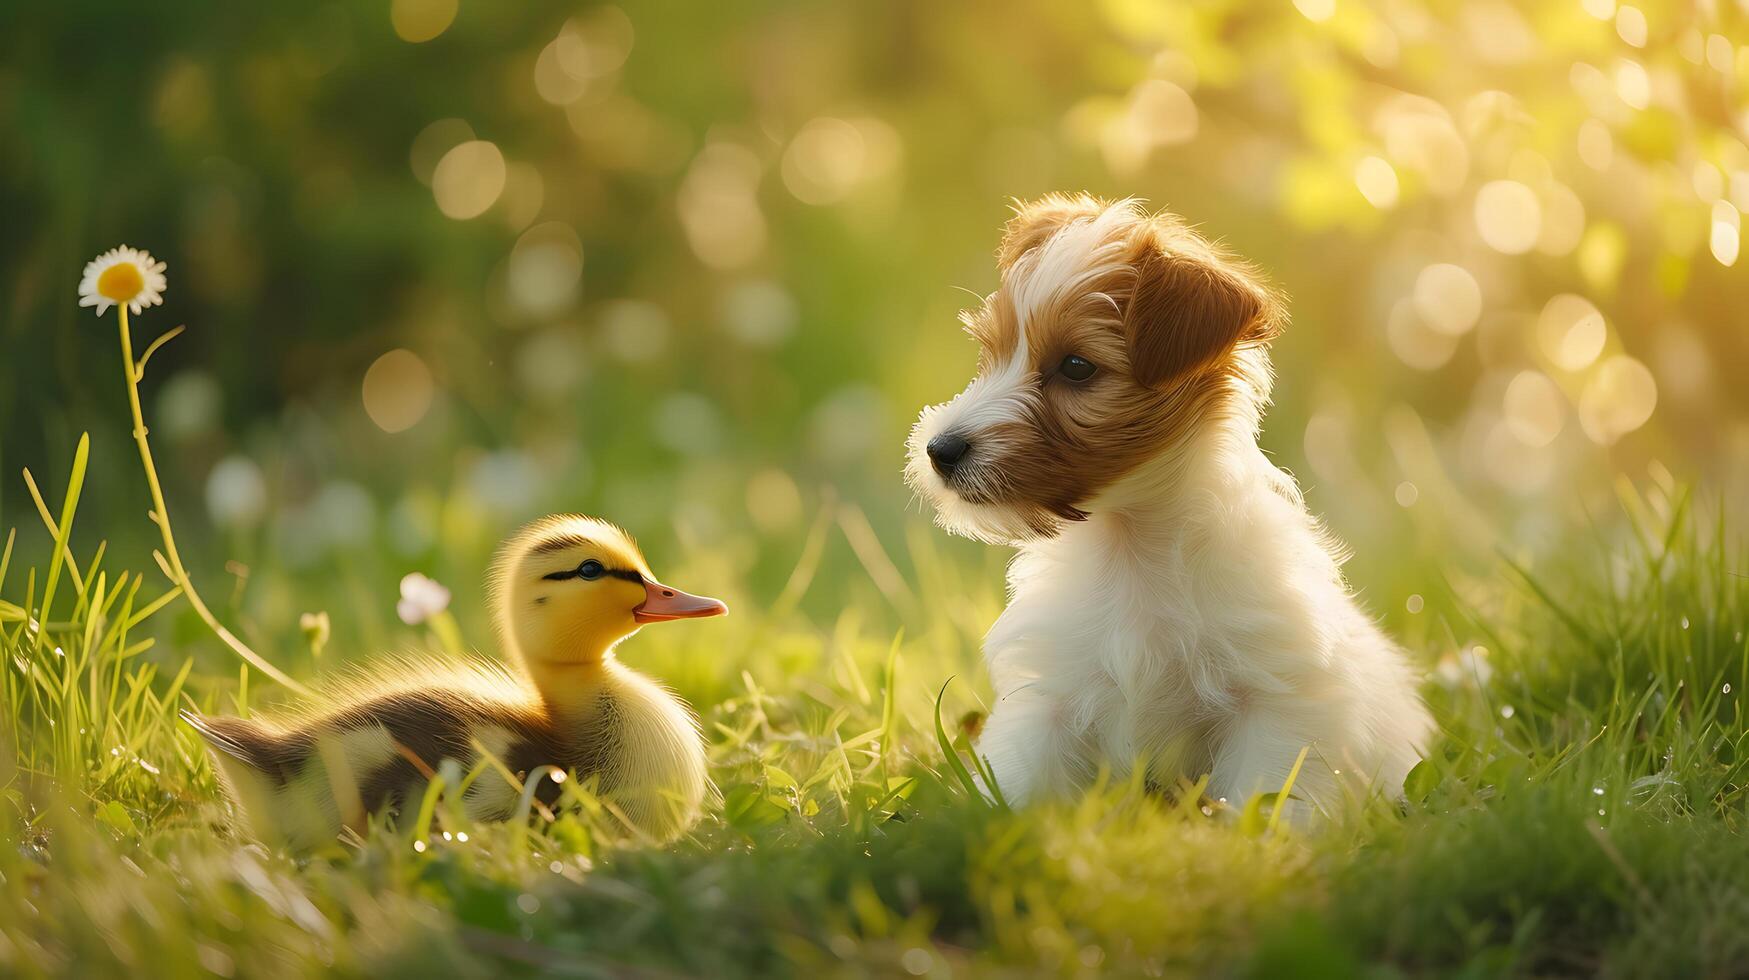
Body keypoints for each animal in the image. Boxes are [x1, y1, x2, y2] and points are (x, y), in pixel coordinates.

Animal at [909, 195, 1427, 815]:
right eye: (991, 354)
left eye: (1076, 366)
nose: (939, 450)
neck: (1132, 548)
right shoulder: (1048, 700)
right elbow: (1021, 790)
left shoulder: (1274, 706)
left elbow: (1264, 803)